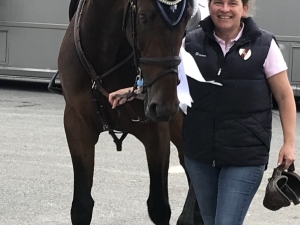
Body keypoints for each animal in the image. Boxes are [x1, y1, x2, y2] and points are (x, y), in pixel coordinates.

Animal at [55, 0, 204, 224]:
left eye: (187, 17)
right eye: (143, 17)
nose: (165, 105)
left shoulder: (156, 133)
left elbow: (159, 206)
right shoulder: (77, 126)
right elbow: (81, 206)